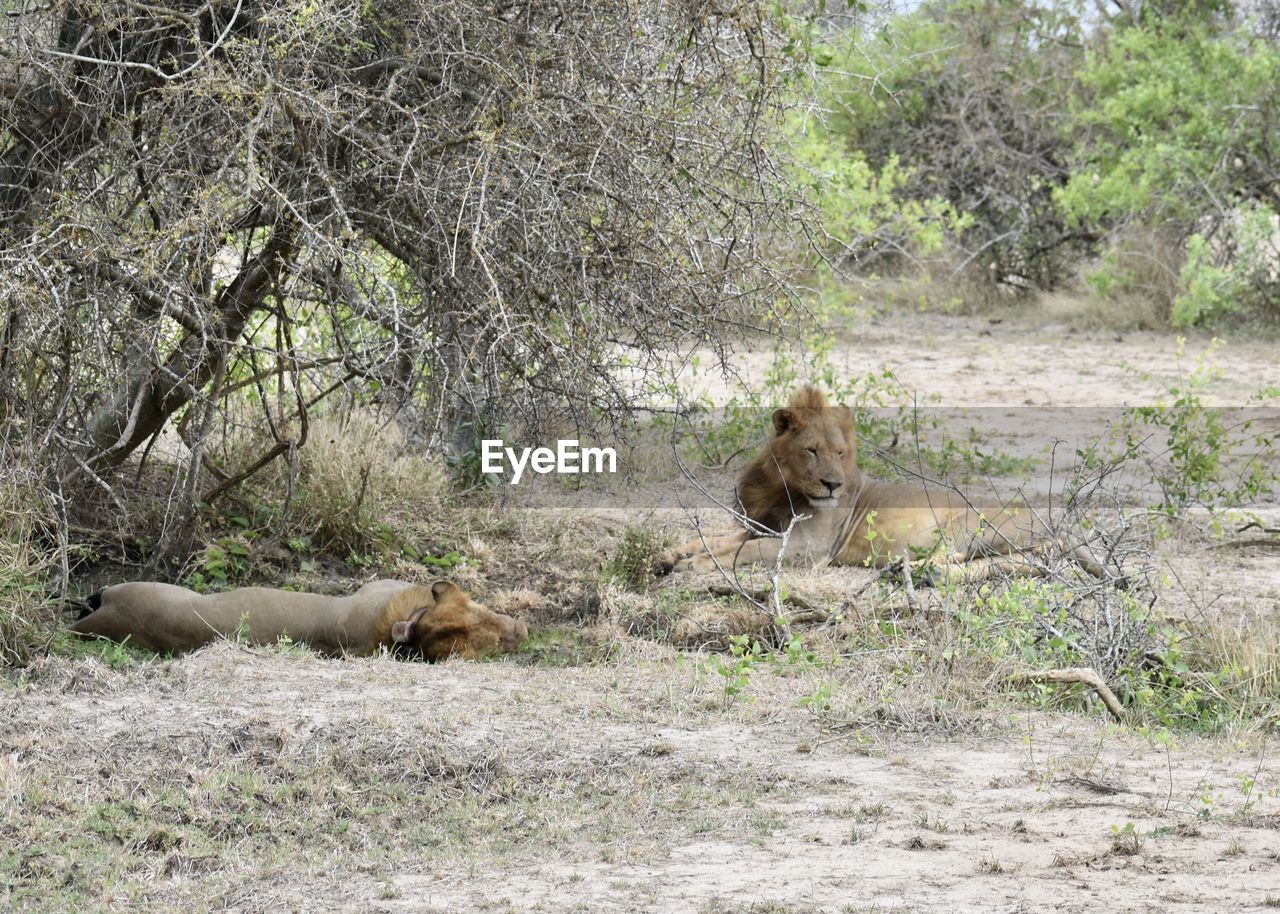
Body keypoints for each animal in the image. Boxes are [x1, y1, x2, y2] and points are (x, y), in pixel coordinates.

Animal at [660, 384, 1100, 576]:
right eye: (812, 450)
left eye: (840, 453)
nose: (834, 485)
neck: (781, 487)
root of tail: (1051, 519)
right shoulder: (764, 526)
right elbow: (718, 538)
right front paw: (673, 554)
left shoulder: (809, 548)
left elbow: (740, 551)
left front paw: (694, 563)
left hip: (975, 524)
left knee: (1016, 557)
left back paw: (924, 566)